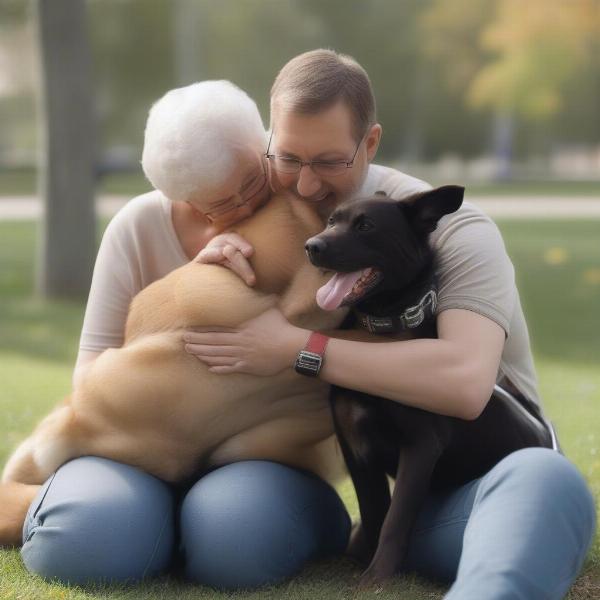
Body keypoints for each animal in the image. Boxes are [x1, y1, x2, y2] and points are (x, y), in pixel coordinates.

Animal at [308, 188, 556, 584]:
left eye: (366, 225)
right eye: (332, 220)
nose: (310, 246)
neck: (381, 335)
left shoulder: (422, 445)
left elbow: (395, 518)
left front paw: (377, 577)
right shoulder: (355, 446)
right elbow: (375, 509)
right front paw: (362, 559)